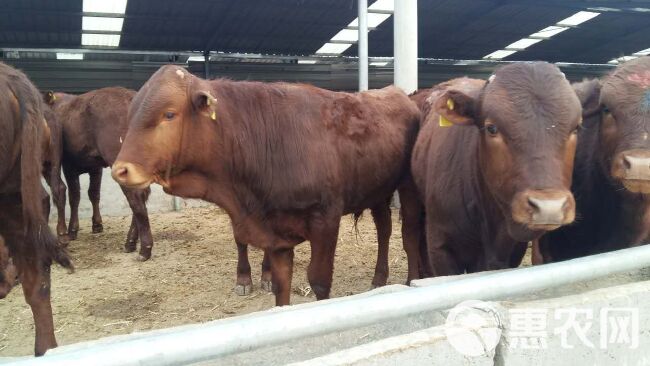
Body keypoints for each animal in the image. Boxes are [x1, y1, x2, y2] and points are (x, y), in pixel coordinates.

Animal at [44, 88, 154, 260]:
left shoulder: (68, 165)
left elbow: (75, 196)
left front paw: (72, 230)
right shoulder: (96, 167)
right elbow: (93, 194)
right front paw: (97, 224)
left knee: (135, 198)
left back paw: (144, 249)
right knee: (142, 195)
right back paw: (130, 242)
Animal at [111, 64, 420, 304]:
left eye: (169, 114)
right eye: (131, 114)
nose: (120, 170)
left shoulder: (325, 219)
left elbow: (319, 281)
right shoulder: (275, 235)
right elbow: (281, 286)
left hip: (405, 188)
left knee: (404, 234)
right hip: (377, 190)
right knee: (384, 228)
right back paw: (380, 278)